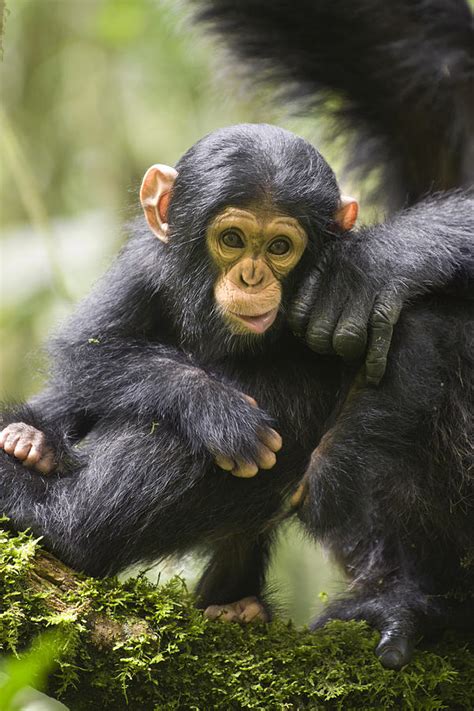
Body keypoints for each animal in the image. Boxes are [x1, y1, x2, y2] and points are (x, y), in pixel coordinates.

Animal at [0, 119, 472, 672]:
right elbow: (92, 350)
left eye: (280, 248)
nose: (251, 276)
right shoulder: (142, 272)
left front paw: (378, 265)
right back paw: (31, 443)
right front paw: (220, 415)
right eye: (231, 239)